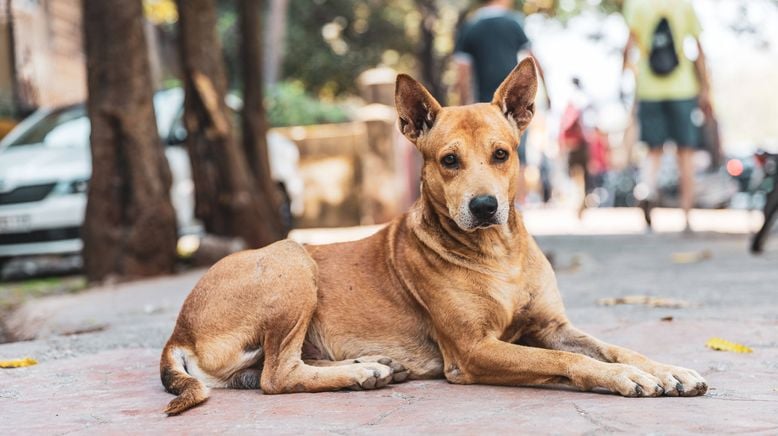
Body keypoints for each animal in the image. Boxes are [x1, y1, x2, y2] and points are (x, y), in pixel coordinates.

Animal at [161, 58, 708, 416]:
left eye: (501, 154)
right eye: (449, 160)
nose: (485, 207)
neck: (498, 255)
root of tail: (178, 330)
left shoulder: (553, 325)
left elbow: (612, 347)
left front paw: (665, 369)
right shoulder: (473, 350)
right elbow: (566, 360)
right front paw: (625, 378)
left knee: (268, 371)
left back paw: (370, 364)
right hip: (291, 260)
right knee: (277, 376)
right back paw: (360, 372)